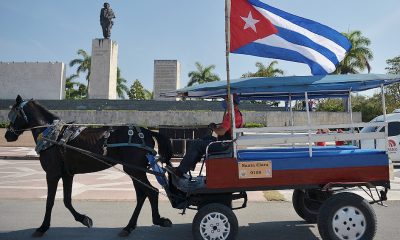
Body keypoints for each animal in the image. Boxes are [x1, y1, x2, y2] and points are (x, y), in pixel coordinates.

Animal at [4, 95, 173, 236]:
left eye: (13, 114)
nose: (7, 136)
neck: (52, 136)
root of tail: (147, 131)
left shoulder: (52, 174)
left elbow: (50, 202)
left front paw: (42, 227)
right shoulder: (67, 174)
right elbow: (66, 200)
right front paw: (84, 219)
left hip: (134, 170)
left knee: (152, 192)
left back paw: (158, 220)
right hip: (134, 171)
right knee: (142, 195)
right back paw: (129, 226)